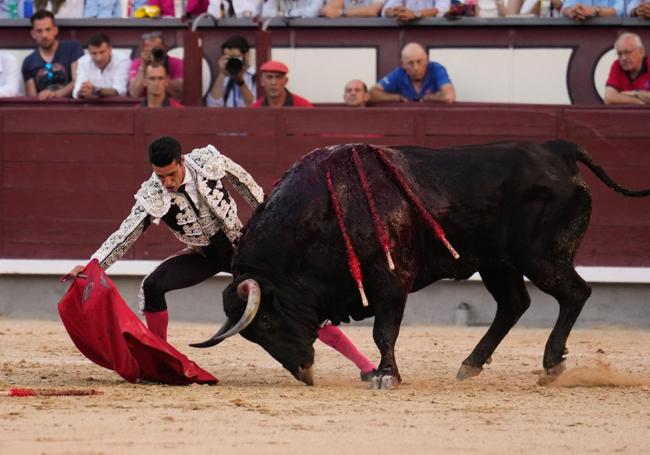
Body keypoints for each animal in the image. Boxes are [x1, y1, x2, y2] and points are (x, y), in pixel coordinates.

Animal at [191, 142, 648, 388]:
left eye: (266, 322)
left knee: (575, 293)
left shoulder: (392, 280)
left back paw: (552, 365)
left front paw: (386, 376)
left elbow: (384, 331)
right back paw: (470, 365)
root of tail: (558, 148)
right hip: (497, 263)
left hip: (541, 257)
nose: (304, 372)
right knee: (514, 304)